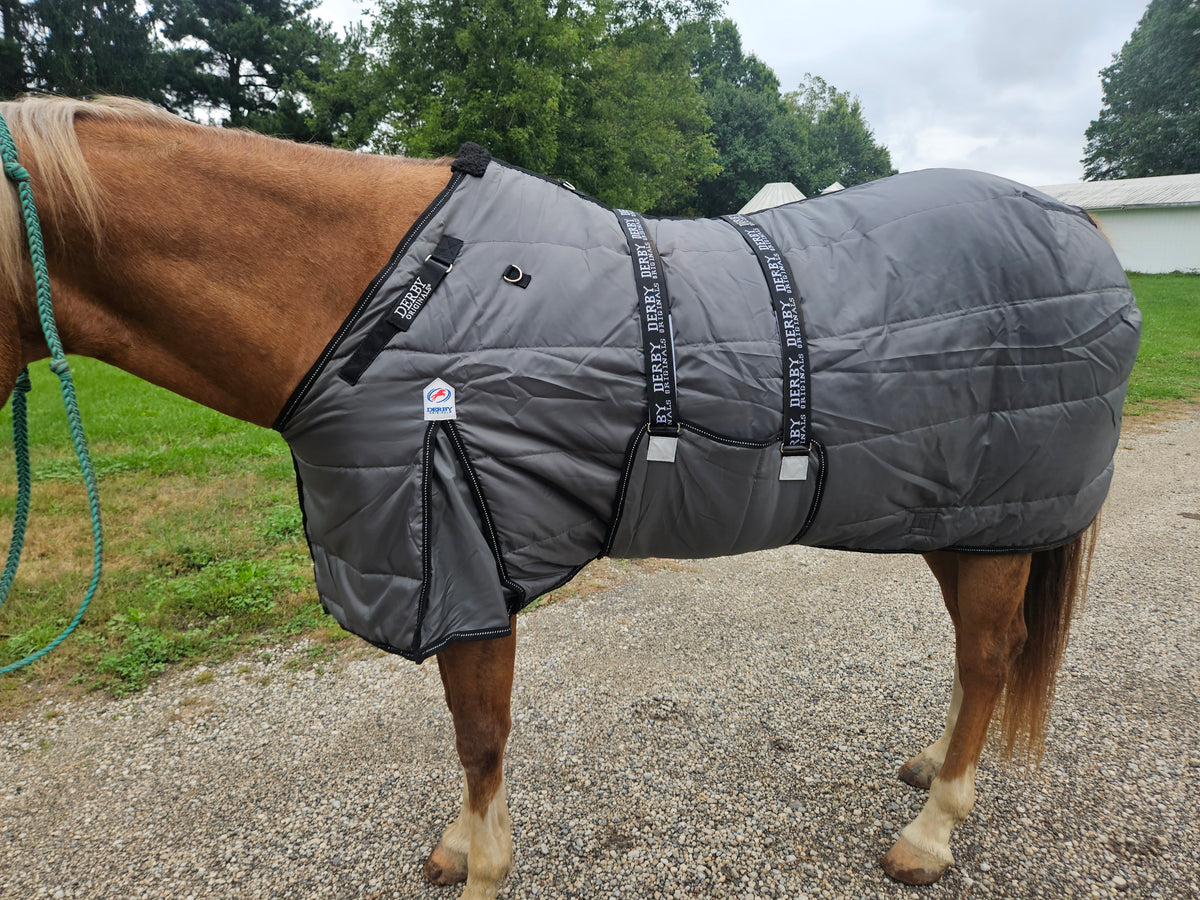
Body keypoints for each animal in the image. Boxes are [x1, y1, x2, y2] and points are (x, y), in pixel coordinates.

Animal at [0, 96, 1131, 899]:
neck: (389, 301)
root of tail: (1074, 223)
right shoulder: (453, 565)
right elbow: (471, 739)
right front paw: (459, 848)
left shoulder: (465, 554)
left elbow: (481, 738)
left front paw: (482, 867)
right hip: (959, 515)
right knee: (981, 654)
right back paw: (931, 770)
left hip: (999, 520)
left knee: (989, 656)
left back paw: (931, 832)